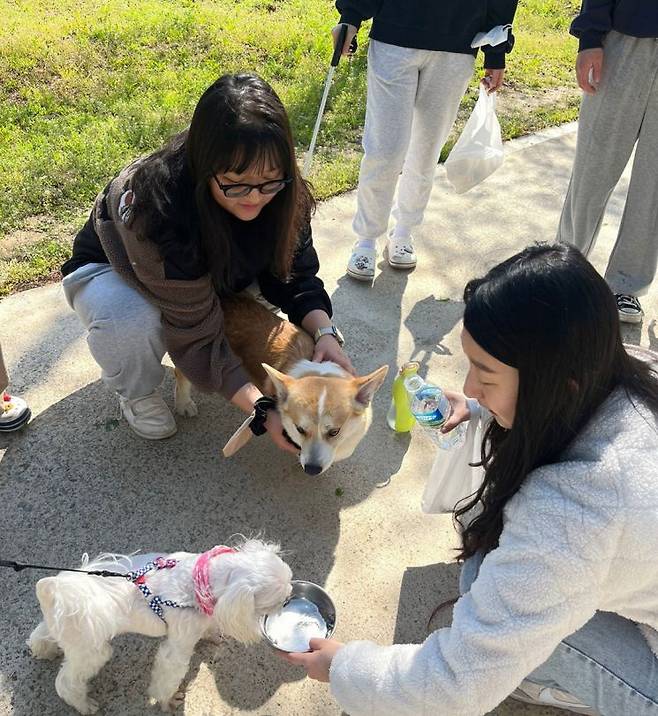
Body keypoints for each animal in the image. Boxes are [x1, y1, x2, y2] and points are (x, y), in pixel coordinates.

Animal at [26, 540, 292, 712]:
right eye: (276, 601)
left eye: (290, 582)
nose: (290, 597)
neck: (199, 583)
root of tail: (58, 590)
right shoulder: (177, 647)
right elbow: (168, 675)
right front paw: (167, 701)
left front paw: (212, 635)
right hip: (90, 650)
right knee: (66, 683)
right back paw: (84, 705)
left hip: (64, 629)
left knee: (42, 633)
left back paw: (43, 650)